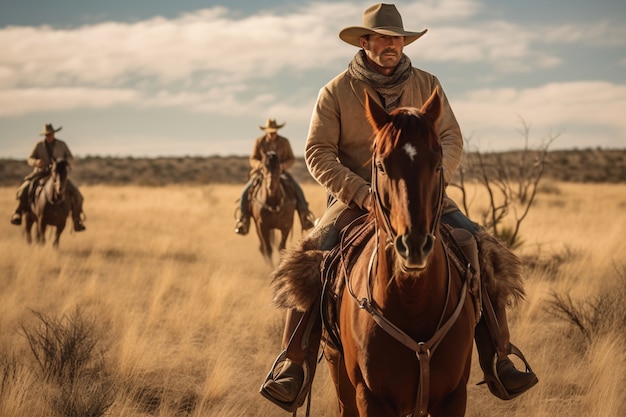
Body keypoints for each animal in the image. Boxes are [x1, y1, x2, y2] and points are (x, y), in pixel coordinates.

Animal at [324, 90, 476, 416]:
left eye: (437, 164)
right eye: (381, 165)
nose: (414, 245)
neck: (412, 301)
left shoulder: (454, 396)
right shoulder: (370, 398)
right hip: (340, 376)